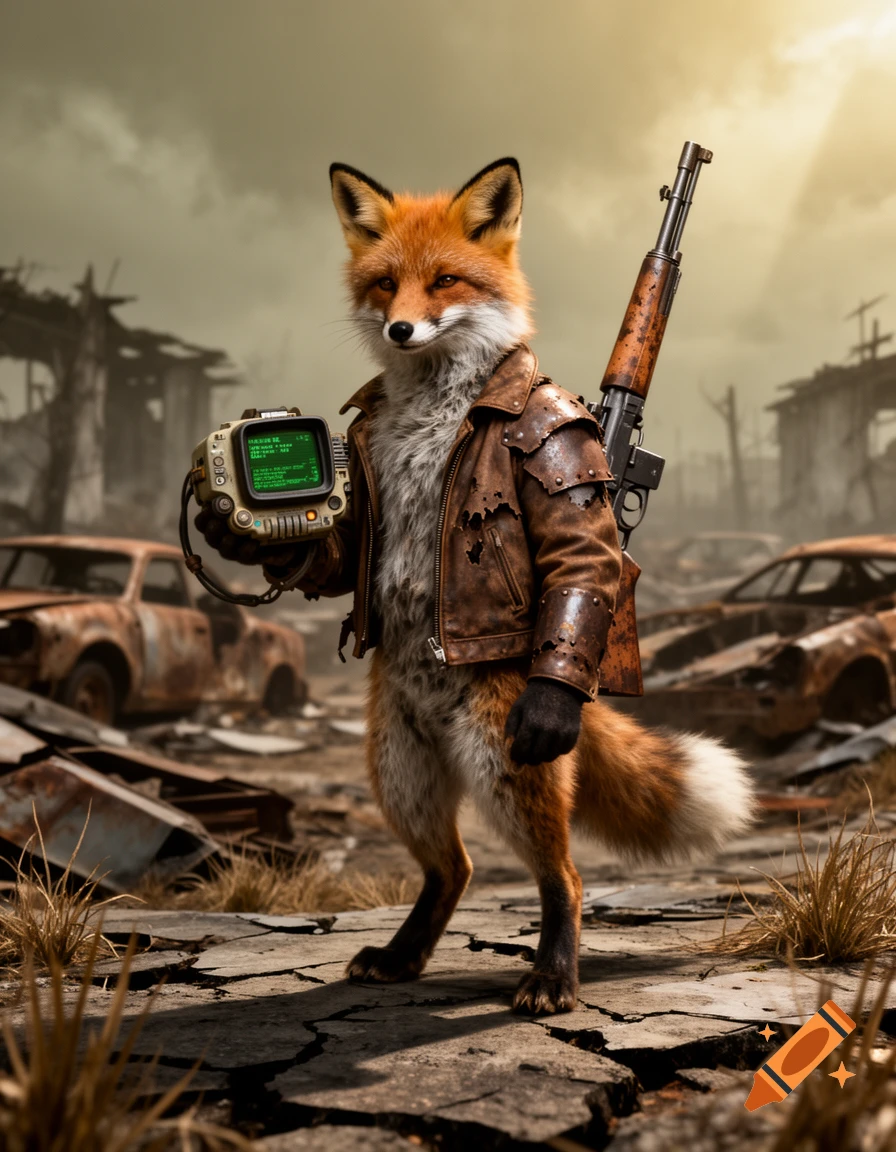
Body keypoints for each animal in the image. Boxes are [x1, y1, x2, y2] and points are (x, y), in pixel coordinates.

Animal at [201, 157, 756, 1015]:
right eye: (386, 285)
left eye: (446, 282)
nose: (400, 330)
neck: (435, 404)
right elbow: (344, 552)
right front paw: (238, 528)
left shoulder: (558, 441)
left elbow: (581, 552)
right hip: (400, 774)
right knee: (452, 869)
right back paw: (402, 956)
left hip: (504, 764)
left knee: (565, 877)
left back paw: (552, 975)